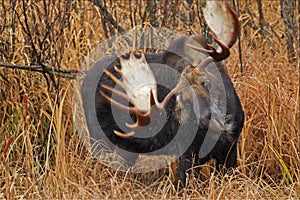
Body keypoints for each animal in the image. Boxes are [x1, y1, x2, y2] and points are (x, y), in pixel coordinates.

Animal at [81, 1, 244, 186]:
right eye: (182, 99)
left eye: (206, 82)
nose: (207, 117)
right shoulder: (186, 154)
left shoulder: (231, 149)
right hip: (98, 139)